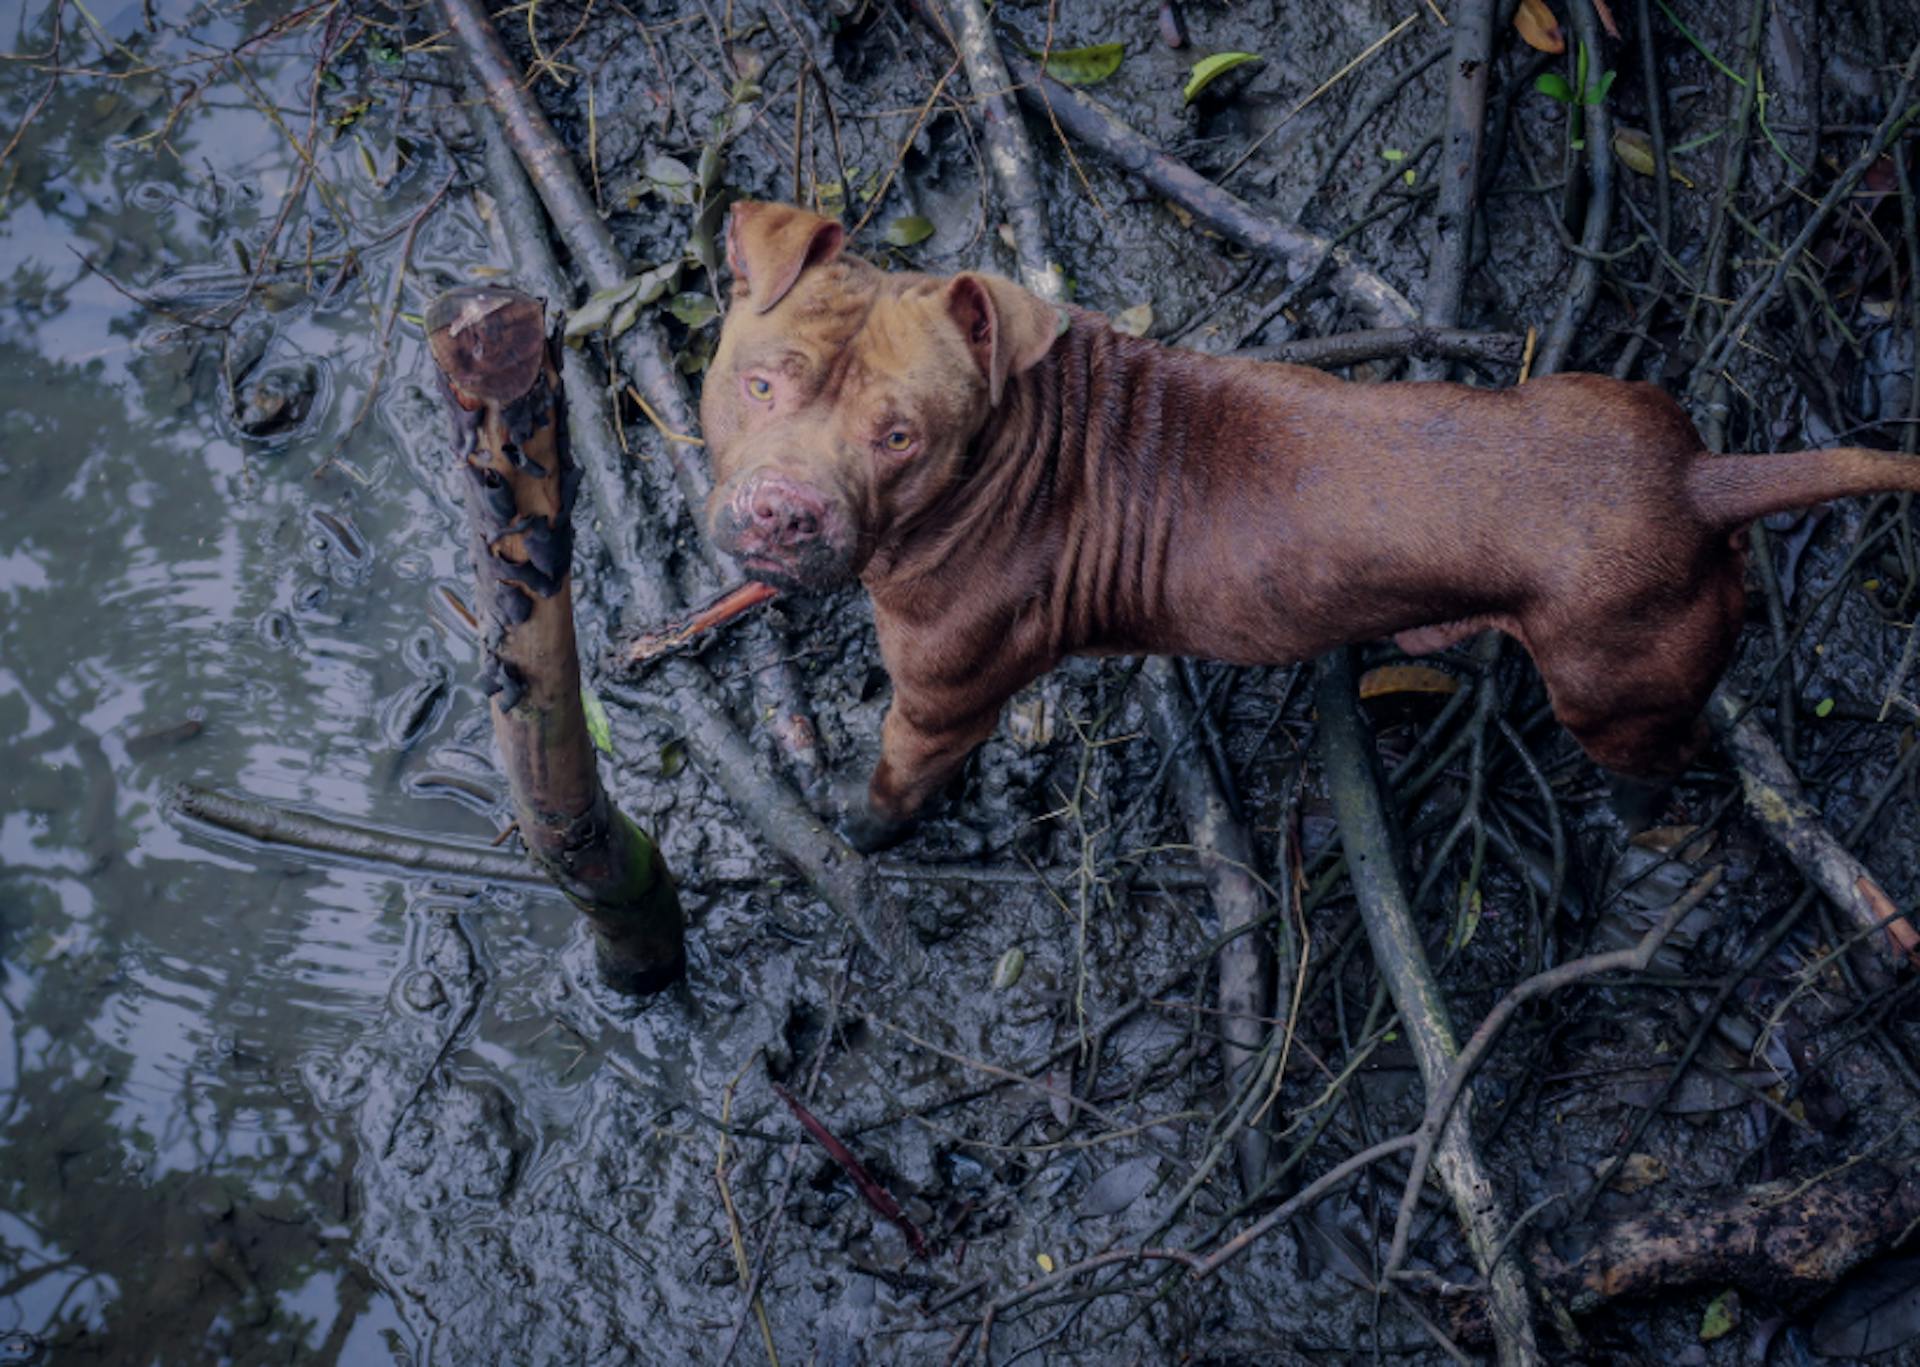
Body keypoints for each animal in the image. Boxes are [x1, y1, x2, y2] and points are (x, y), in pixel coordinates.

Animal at [702, 200, 1920, 852]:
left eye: (898, 437)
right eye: (761, 384)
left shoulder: (945, 697)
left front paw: (854, 824)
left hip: (1616, 682)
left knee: (1654, 750)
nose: (783, 510)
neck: (1014, 451)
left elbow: (898, 778)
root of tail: (1698, 476)